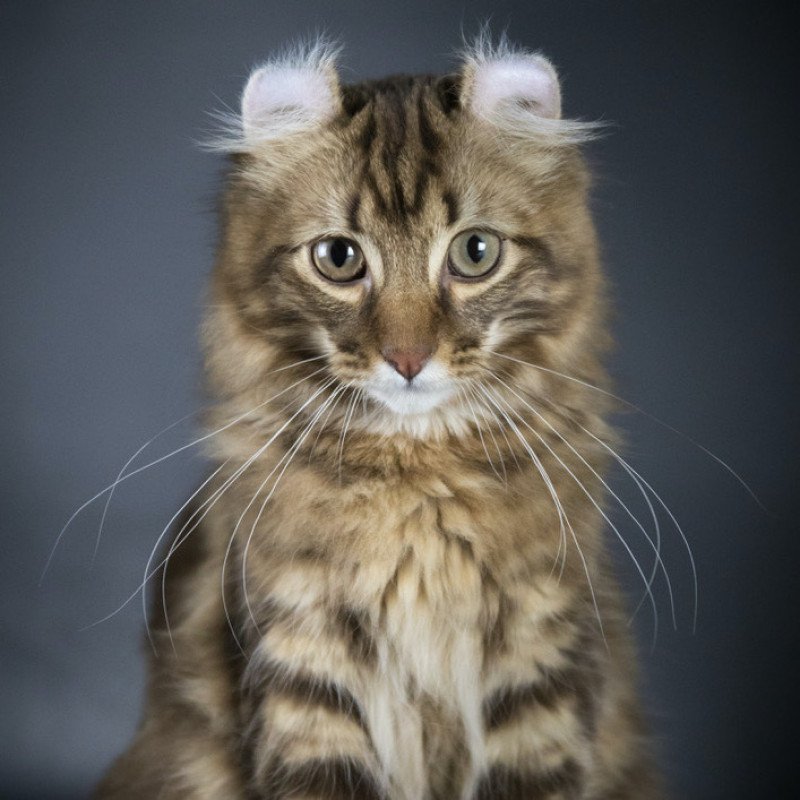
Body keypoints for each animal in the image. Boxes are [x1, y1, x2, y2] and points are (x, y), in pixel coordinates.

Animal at [97, 40, 664, 800]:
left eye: (475, 252)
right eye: (339, 258)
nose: (408, 358)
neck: (416, 479)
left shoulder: (542, 654)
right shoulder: (303, 661)